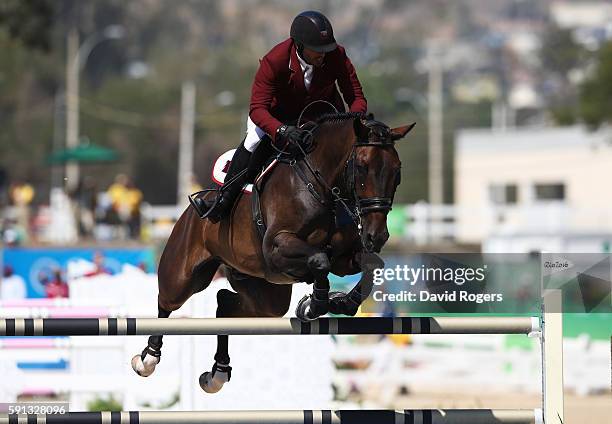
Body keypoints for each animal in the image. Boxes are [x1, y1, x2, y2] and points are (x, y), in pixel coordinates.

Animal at [131, 113, 414, 394]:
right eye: (362, 167)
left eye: (397, 171)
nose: (377, 236)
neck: (321, 188)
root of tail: (192, 209)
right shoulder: (278, 247)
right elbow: (319, 260)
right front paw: (314, 304)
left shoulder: (343, 259)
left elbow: (372, 264)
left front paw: (342, 302)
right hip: (185, 275)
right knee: (167, 303)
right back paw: (148, 359)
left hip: (265, 297)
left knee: (225, 302)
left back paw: (217, 373)